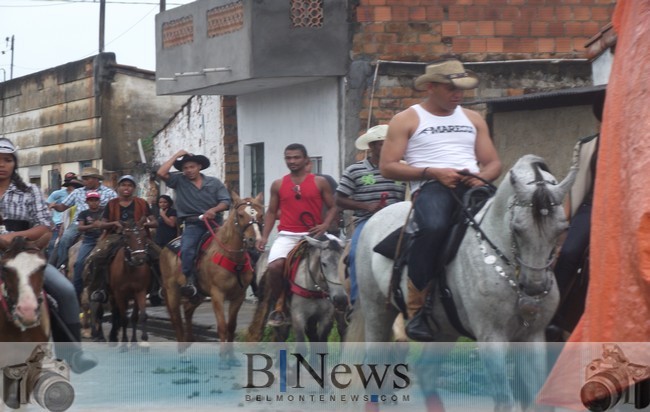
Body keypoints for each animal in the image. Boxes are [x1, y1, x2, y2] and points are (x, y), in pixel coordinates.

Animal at [107, 219, 151, 350]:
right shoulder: (119, 294)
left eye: (144, 235)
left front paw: (142, 340)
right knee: (115, 314)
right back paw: (113, 338)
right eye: (127, 236)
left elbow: (140, 316)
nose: (140, 258)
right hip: (113, 295)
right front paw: (124, 342)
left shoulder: (140, 291)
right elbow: (123, 319)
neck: (130, 270)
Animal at [158, 192, 262, 368]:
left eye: (260, 215)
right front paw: (223, 359)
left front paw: (232, 357)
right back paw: (182, 353)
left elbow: (231, 326)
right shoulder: (217, 295)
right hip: (172, 290)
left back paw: (190, 340)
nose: (254, 240)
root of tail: (167, 246)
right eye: (241, 215)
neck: (232, 256)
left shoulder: (238, 296)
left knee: (187, 310)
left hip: (198, 294)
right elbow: (222, 326)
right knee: (176, 318)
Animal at [346, 155, 576, 412]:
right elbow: (505, 401)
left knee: (426, 372)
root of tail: (375, 218)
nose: (535, 287)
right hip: (377, 311)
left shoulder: (533, 336)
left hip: (445, 329)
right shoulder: (491, 337)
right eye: (517, 228)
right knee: (374, 368)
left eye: (563, 228)